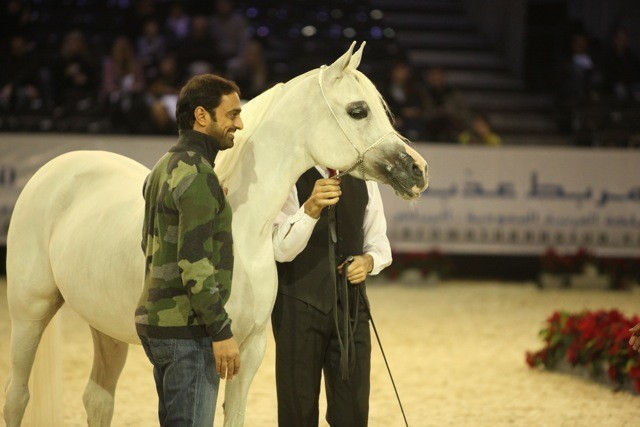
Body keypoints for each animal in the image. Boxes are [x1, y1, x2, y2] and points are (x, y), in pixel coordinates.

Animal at [3, 41, 429, 426]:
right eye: (358, 111)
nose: (418, 169)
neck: (246, 231)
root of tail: (54, 168)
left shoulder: (252, 349)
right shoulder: (211, 355)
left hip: (104, 325)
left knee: (98, 400)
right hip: (29, 313)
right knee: (16, 397)